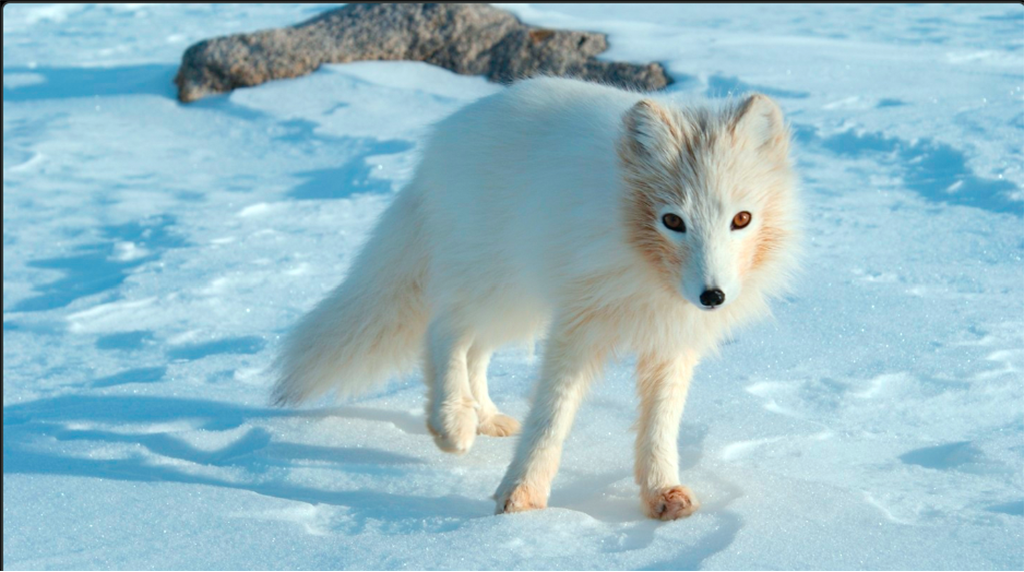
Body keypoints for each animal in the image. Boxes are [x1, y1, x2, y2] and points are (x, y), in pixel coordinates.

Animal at [272, 76, 799, 520]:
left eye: (741, 219)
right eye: (672, 221)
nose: (713, 296)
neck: (646, 272)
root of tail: (445, 137)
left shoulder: (671, 341)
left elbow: (661, 425)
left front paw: (662, 493)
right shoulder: (577, 327)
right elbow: (551, 415)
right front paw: (522, 495)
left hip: (519, 305)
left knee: (475, 350)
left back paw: (484, 417)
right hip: (498, 285)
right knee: (445, 331)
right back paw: (452, 422)